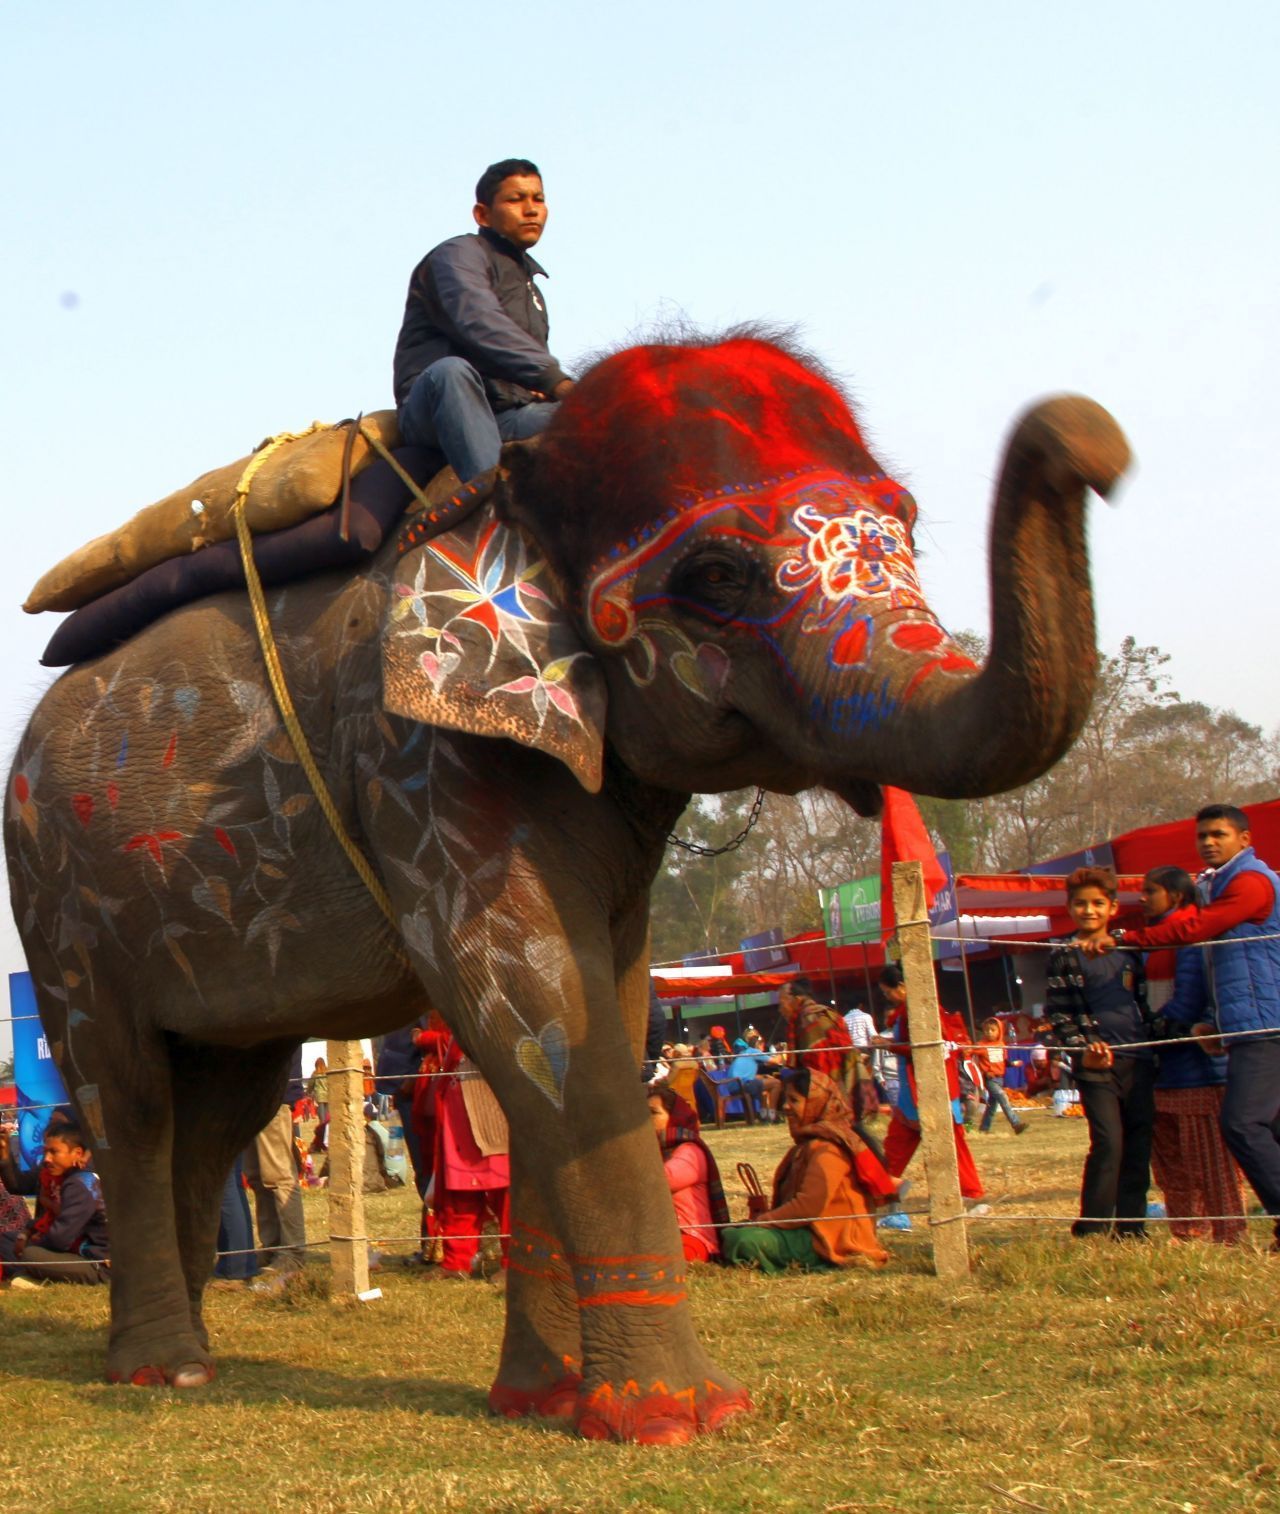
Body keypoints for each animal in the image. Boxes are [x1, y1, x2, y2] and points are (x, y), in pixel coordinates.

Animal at [4, 331, 1120, 1441]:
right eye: (717, 572)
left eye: (906, 523)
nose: (1092, 441)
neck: (515, 496)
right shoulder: (422, 761)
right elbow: (534, 1008)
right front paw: (685, 1416)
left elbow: (597, 1010)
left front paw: (543, 1401)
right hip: (59, 903)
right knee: (129, 1098)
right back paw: (162, 1371)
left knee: (224, 1105)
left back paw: (192, 1357)